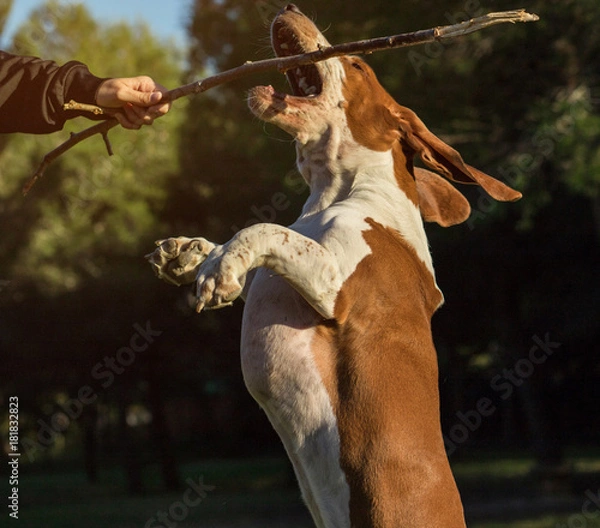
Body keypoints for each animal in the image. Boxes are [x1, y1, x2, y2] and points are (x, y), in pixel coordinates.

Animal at [148, 5, 524, 528]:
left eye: (359, 64)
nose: (289, 8)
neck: (337, 188)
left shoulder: (334, 285)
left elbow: (265, 228)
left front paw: (218, 269)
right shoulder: (284, 271)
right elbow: (253, 243)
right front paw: (189, 253)